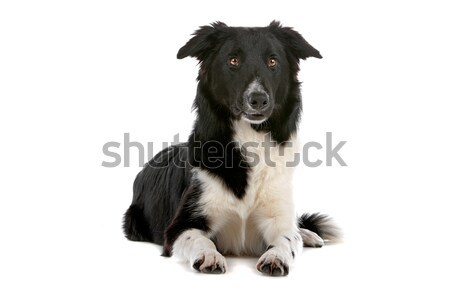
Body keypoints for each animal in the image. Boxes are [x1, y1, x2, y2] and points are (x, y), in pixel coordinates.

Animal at [122, 19, 338, 276]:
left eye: (273, 61)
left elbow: (287, 238)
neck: (251, 138)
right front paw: (209, 255)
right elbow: (198, 238)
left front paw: (277, 255)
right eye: (233, 60)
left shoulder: (278, 216)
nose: (258, 99)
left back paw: (307, 233)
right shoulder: (179, 226)